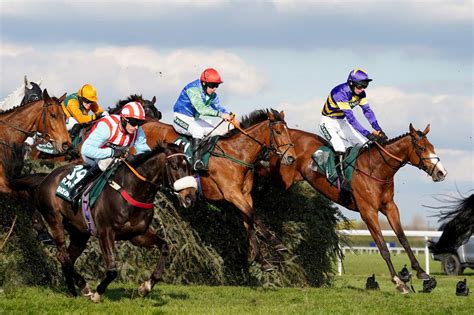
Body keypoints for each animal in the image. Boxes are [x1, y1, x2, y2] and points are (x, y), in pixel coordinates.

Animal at [4, 143, 196, 302]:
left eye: (189, 167)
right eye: (174, 166)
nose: (189, 196)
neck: (133, 191)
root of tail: (46, 177)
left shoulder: (137, 235)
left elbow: (165, 247)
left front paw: (146, 286)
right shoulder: (106, 233)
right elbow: (112, 270)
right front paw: (98, 293)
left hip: (79, 233)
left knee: (67, 257)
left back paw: (81, 287)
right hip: (54, 219)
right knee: (63, 256)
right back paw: (76, 291)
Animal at [141, 108, 296, 270]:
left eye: (288, 132)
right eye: (278, 132)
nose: (291, 158)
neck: (237, 154)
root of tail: (147, 124)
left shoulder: (245, 195)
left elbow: (249, 221)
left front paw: (262, 260)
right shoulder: (232, 194)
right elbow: (254, 215)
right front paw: (277, 243)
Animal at [254, 124, 446, 294]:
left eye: (432, 147)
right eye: (421, 148)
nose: (441, 173)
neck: (377, 169)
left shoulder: (390, 207)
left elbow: (403, 239)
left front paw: (422, 273)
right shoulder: (368, 212)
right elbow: (383, 247)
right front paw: (399, 283)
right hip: (279, 177)